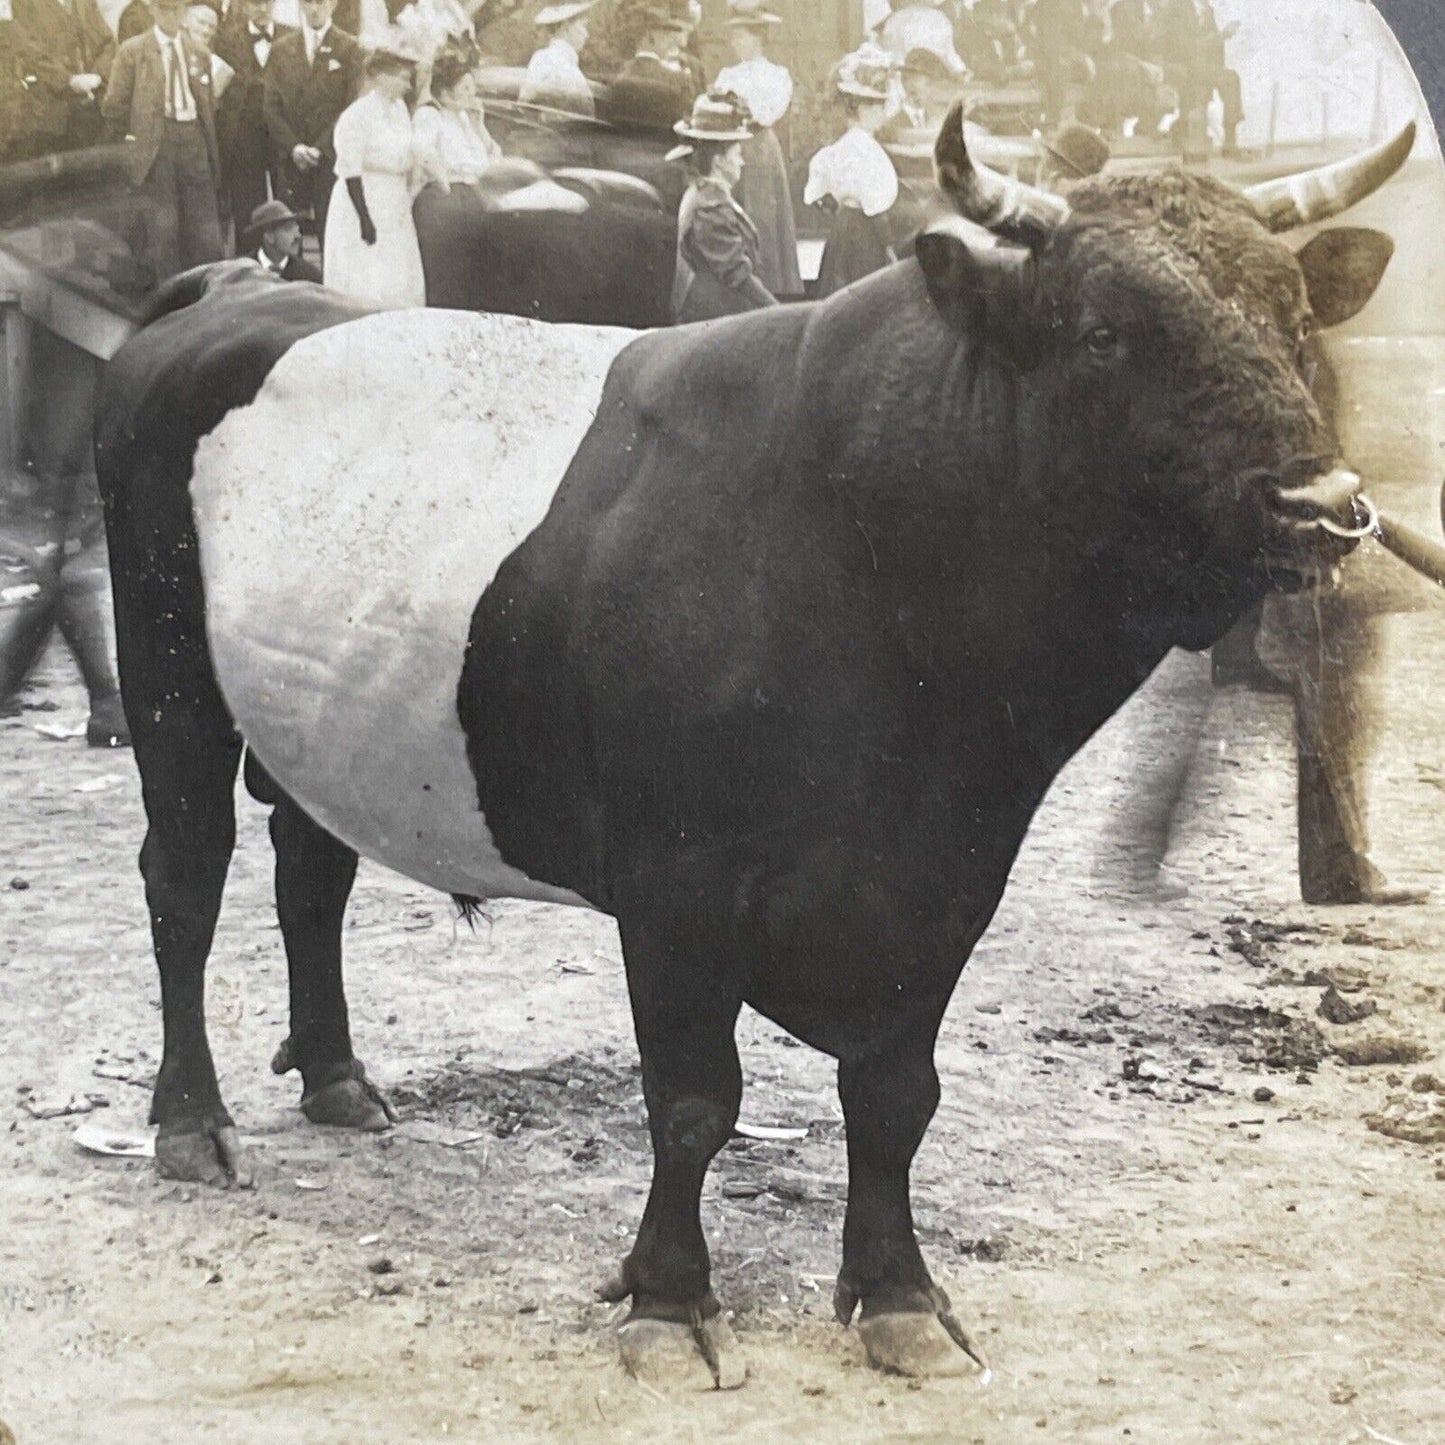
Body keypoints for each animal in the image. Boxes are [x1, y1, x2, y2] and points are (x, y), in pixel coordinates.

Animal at [98, 106, 1410, 1381]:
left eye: (1293, 318)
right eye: (1101, 333)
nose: (1322, 504)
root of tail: (232, 292)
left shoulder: (946, 878)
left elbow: (893, 1094)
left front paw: (898, 1293)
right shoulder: (675, 882)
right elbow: (692, 1098)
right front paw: (669, 1301)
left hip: (309, 714)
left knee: (310, 871)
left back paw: (335, 1076)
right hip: (169, 691)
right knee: (183, 881)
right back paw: (189, 1119)